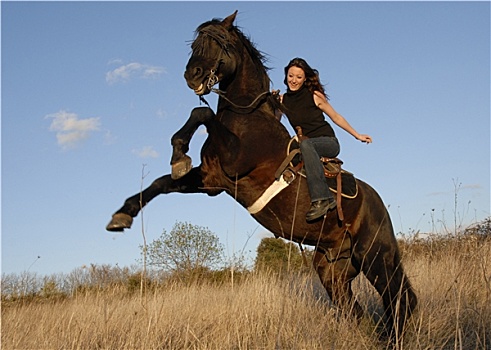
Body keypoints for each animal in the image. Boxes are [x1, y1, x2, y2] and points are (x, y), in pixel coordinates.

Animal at [105, 11, 418, 340]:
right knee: (353, 308)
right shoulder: (212, 180)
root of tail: (378, 204)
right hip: (334, 266)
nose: (192, 75)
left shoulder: (233, 163)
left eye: (220, 42)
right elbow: (163, 182)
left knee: (398, 296)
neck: (248, 116)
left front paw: (179, 152)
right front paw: (123, 215)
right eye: (194, 44)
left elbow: (202, 114)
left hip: (375, 255)